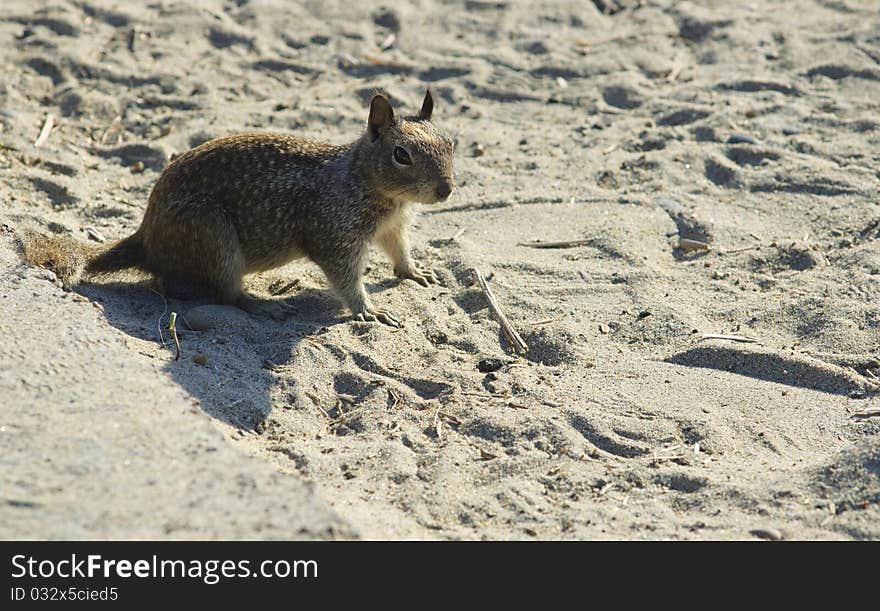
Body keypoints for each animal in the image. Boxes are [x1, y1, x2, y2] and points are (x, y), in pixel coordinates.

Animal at [22, 88, 454, 328]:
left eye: (451, 143)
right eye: (401, 155)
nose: (446, 190)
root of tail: (146, 240)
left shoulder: (393, 227)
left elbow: (400, 252)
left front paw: (415, 272)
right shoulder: (334, 236)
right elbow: (346, 278)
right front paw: (367, 310)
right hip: (214, 240)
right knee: (226, 295)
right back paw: (261, 305)